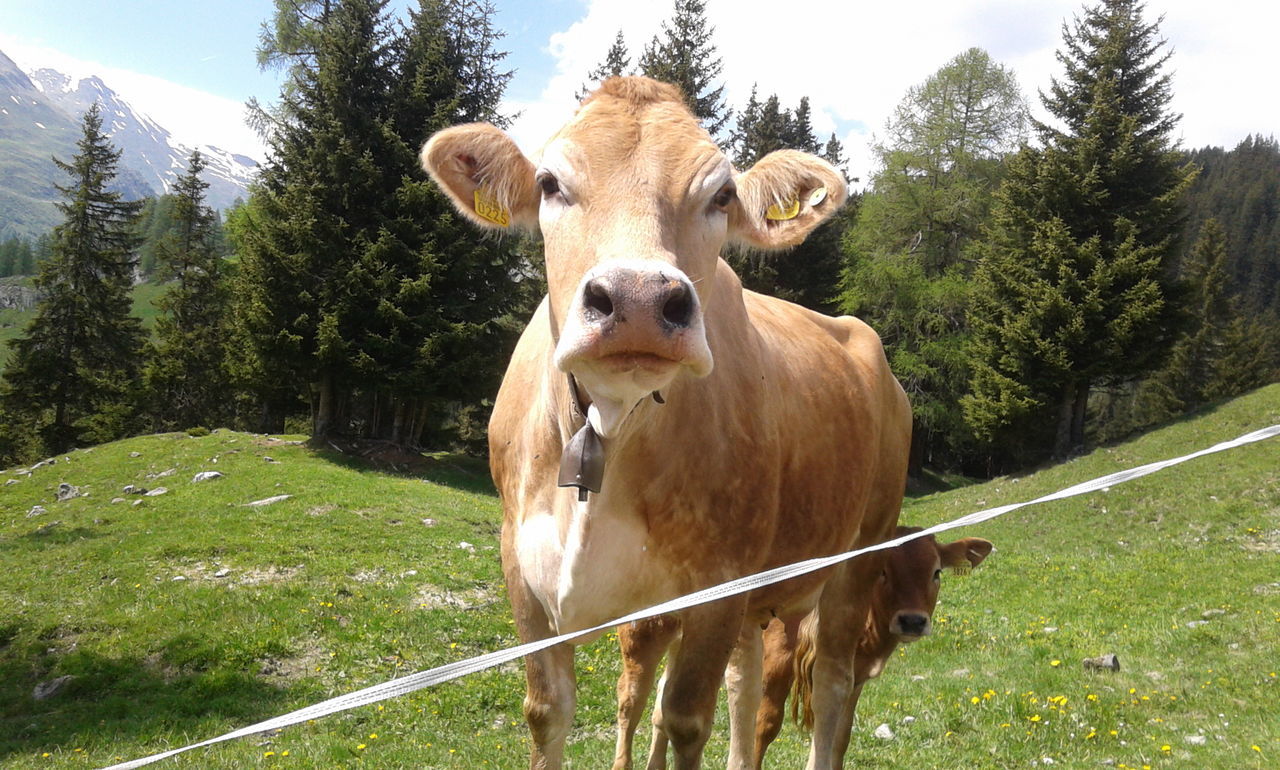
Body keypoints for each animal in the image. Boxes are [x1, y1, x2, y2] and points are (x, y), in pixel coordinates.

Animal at [419, 79, 911, 767]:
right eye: (549, 183)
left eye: (722, 195)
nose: (639, 300)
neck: (611, 425)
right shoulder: (523, 574)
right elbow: (549, 712)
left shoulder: (716, 586)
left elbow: (681, 718)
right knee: (746, 684)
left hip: (861, 554)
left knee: (833, 687)